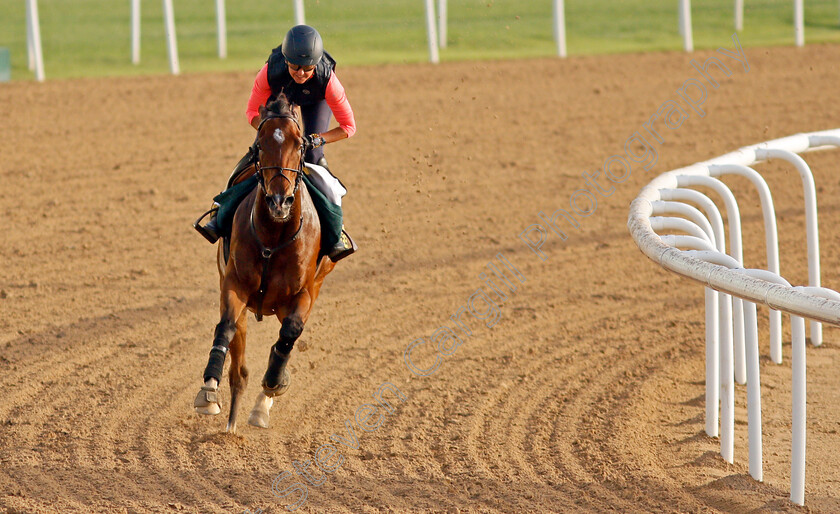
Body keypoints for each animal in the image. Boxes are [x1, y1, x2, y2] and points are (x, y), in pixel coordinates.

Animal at [194, 94, 334, 430]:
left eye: (300, 143)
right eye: (260, 142)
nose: (279, 201)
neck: (274, 234)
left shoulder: (304, 293)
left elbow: (289, 335)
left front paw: (274, 383)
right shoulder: (234, 284)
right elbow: (226, 328)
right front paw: (208, 391)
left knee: (283, 340)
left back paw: (262, 404)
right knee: (239, 370)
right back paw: (231, 426)